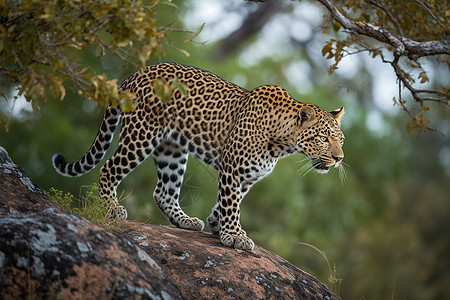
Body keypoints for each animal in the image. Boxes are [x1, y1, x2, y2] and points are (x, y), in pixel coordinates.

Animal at [51, 62, 344, 251]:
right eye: (323, 138)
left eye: (340, 140)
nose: (339, 158)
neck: (282, 142)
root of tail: (134, 74)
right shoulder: (233, 168)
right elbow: (231, 203)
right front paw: (234, 235)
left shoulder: (248, 175)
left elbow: (229, 202)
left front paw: (217, 224)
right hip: (141, 135)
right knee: (109, 167)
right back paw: (110, 208)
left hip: (172, 149)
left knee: (163, 191)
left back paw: (186, 221)